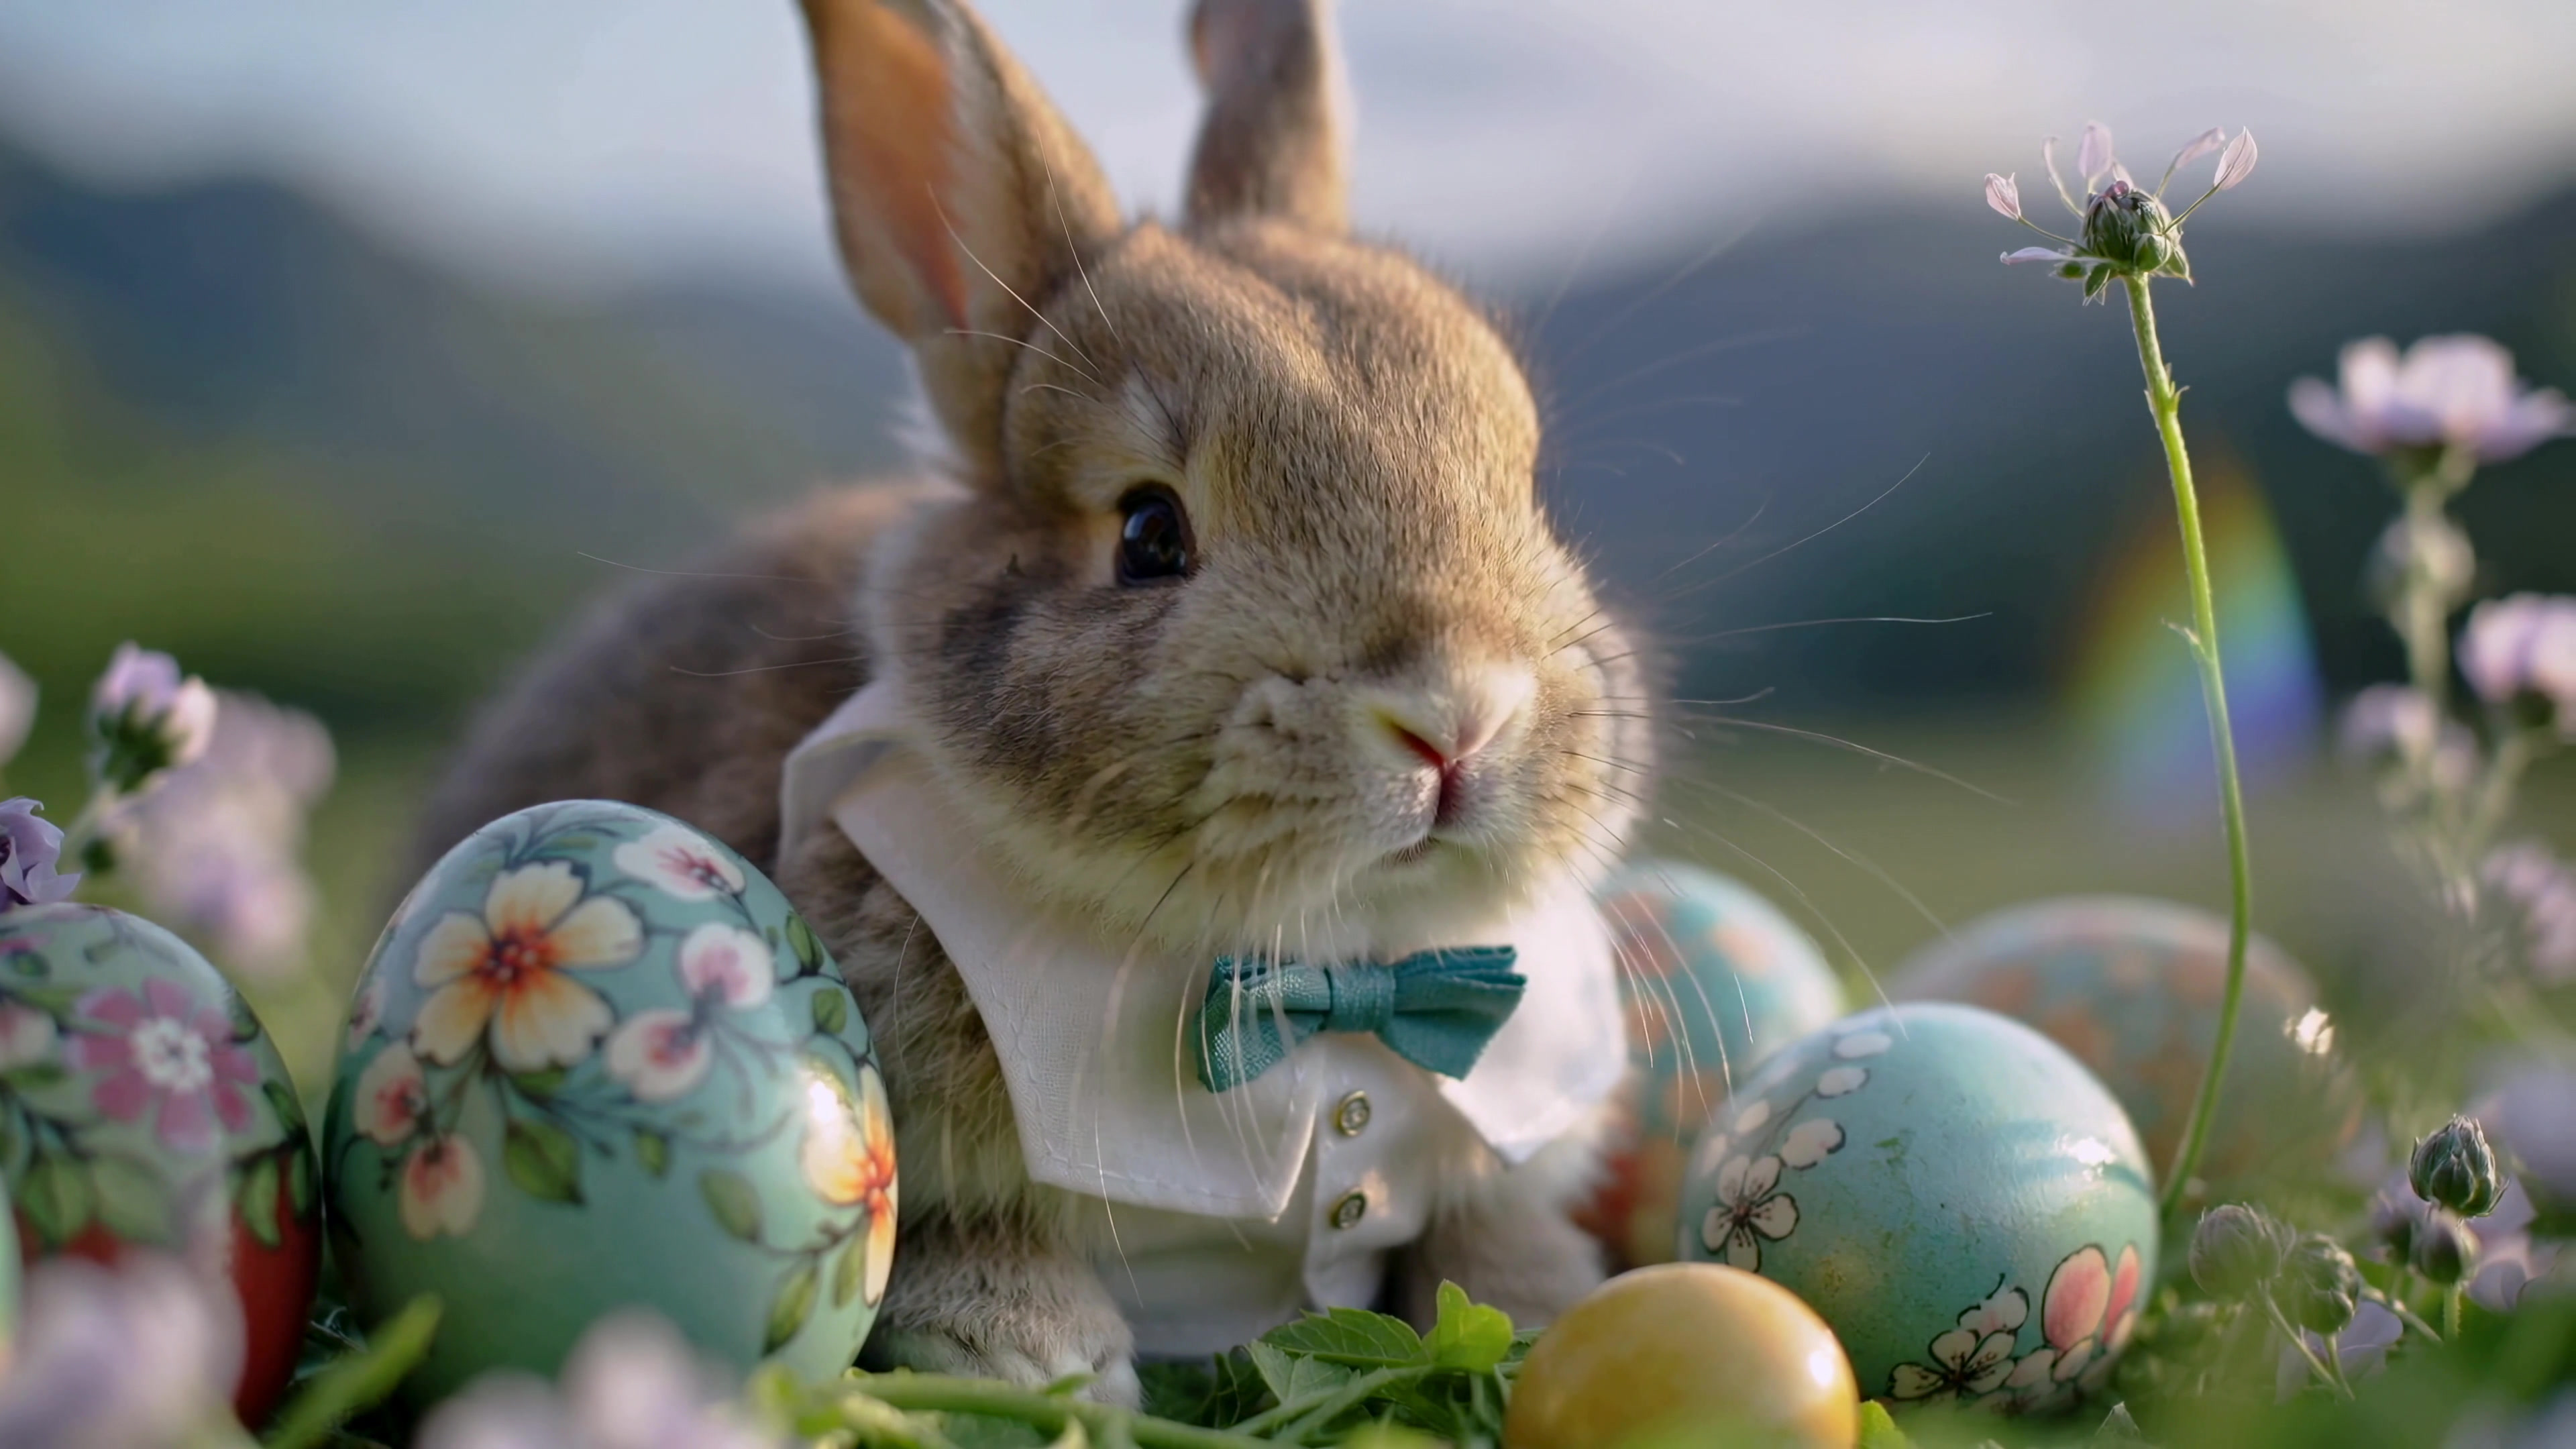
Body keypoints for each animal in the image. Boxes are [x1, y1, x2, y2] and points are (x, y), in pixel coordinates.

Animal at [409, 0, 1655, 1405]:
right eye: (1150, 534)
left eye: (1527, 490)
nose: (1456, 716)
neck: (1328, 969)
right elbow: (932, 1220)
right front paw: (1040, 1350)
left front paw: (1545, 1299)